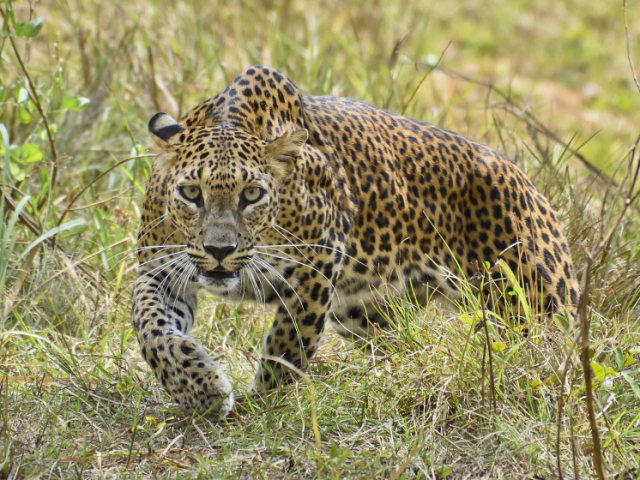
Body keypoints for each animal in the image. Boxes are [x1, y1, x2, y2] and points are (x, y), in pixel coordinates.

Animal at [134, 63, 580, 416]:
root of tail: (531, 185)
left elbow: (288, 345)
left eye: (252, 195)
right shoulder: (160, 269)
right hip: (365, 312)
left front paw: (261, 405)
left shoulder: (316, 268)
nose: (220, 250)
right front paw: (200, 389)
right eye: (191, 193)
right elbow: (151, 328)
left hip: (535, 304)